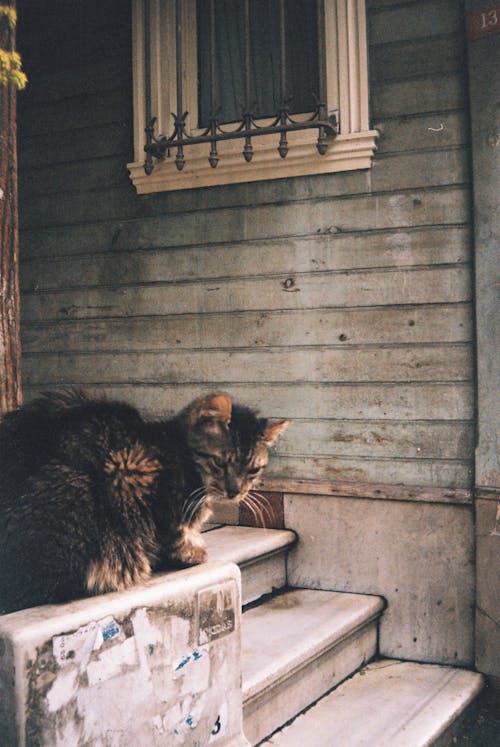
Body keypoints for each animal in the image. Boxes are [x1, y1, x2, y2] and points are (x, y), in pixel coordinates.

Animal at [0, 392, 290, 612]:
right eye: (220, 463)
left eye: (253, 470)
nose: (235, 491)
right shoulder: (145, 483)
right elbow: (174, 537)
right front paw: (192, 554)